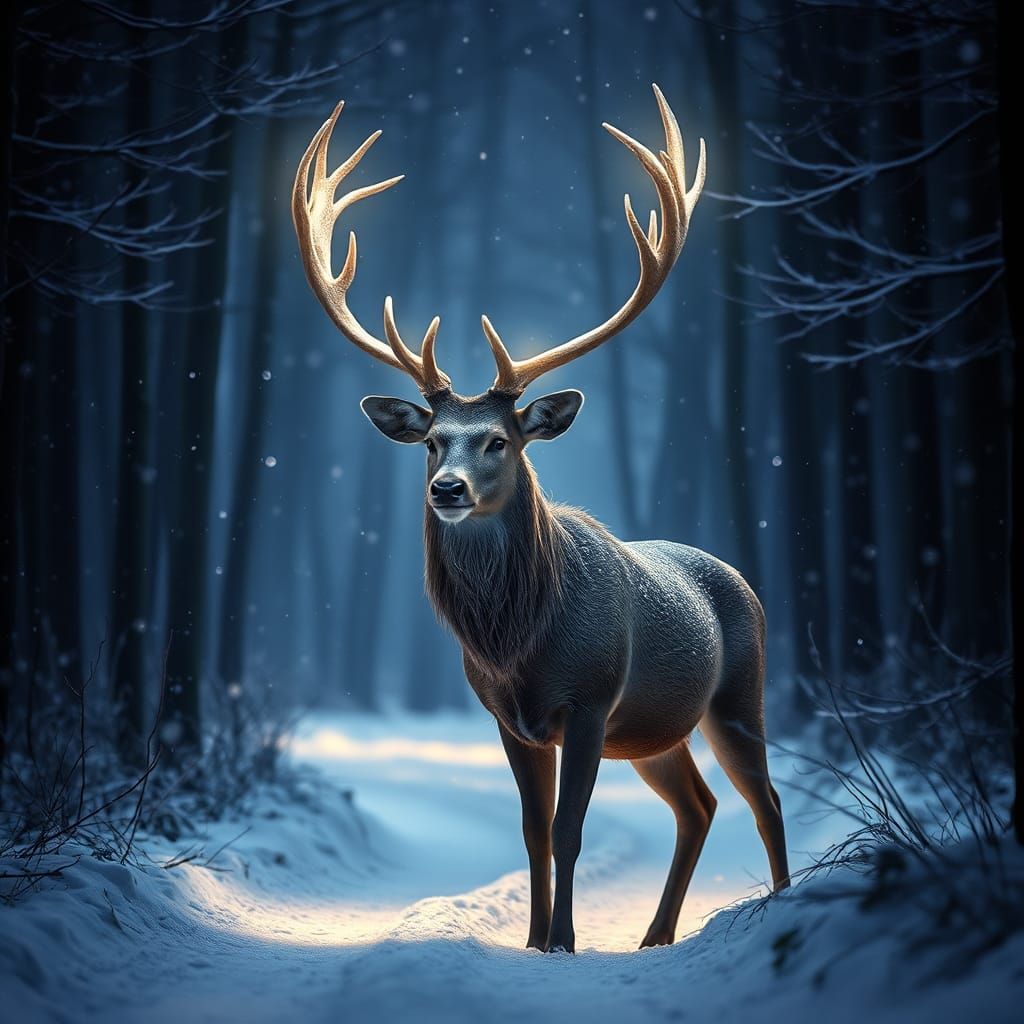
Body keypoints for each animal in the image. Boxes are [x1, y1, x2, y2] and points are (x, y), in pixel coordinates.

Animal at [291, 86, 790, 954]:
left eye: (500, 439)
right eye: (432, 440)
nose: (448, 488)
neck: (520, 641)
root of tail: (742, 581)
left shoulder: (589, 699)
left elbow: (569, 829)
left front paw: (562, 941)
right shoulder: (509, 718)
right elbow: (530, 832)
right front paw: (533, 940)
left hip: (737, 695)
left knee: (764, 800)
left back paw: (785, 902)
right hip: (655, 730)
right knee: (699, 805)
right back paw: (655, 934)